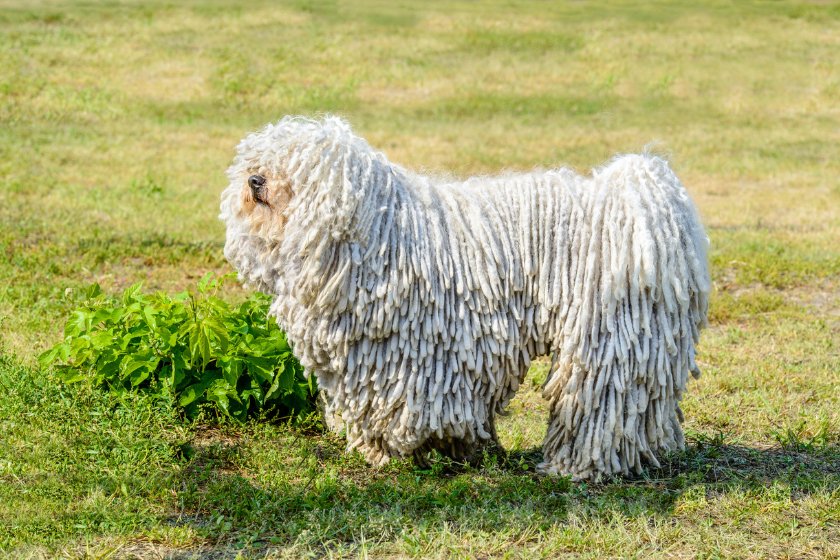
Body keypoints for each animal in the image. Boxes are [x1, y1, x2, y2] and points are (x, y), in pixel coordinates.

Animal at [220, 116, 704, 480]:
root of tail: (641, 202)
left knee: (599, 402)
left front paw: (407, 452)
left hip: (607, 336)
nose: (255, 179)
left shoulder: (418, 355)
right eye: (259, 160)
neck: (375, 235)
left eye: (296, 168)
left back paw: (578, 466)